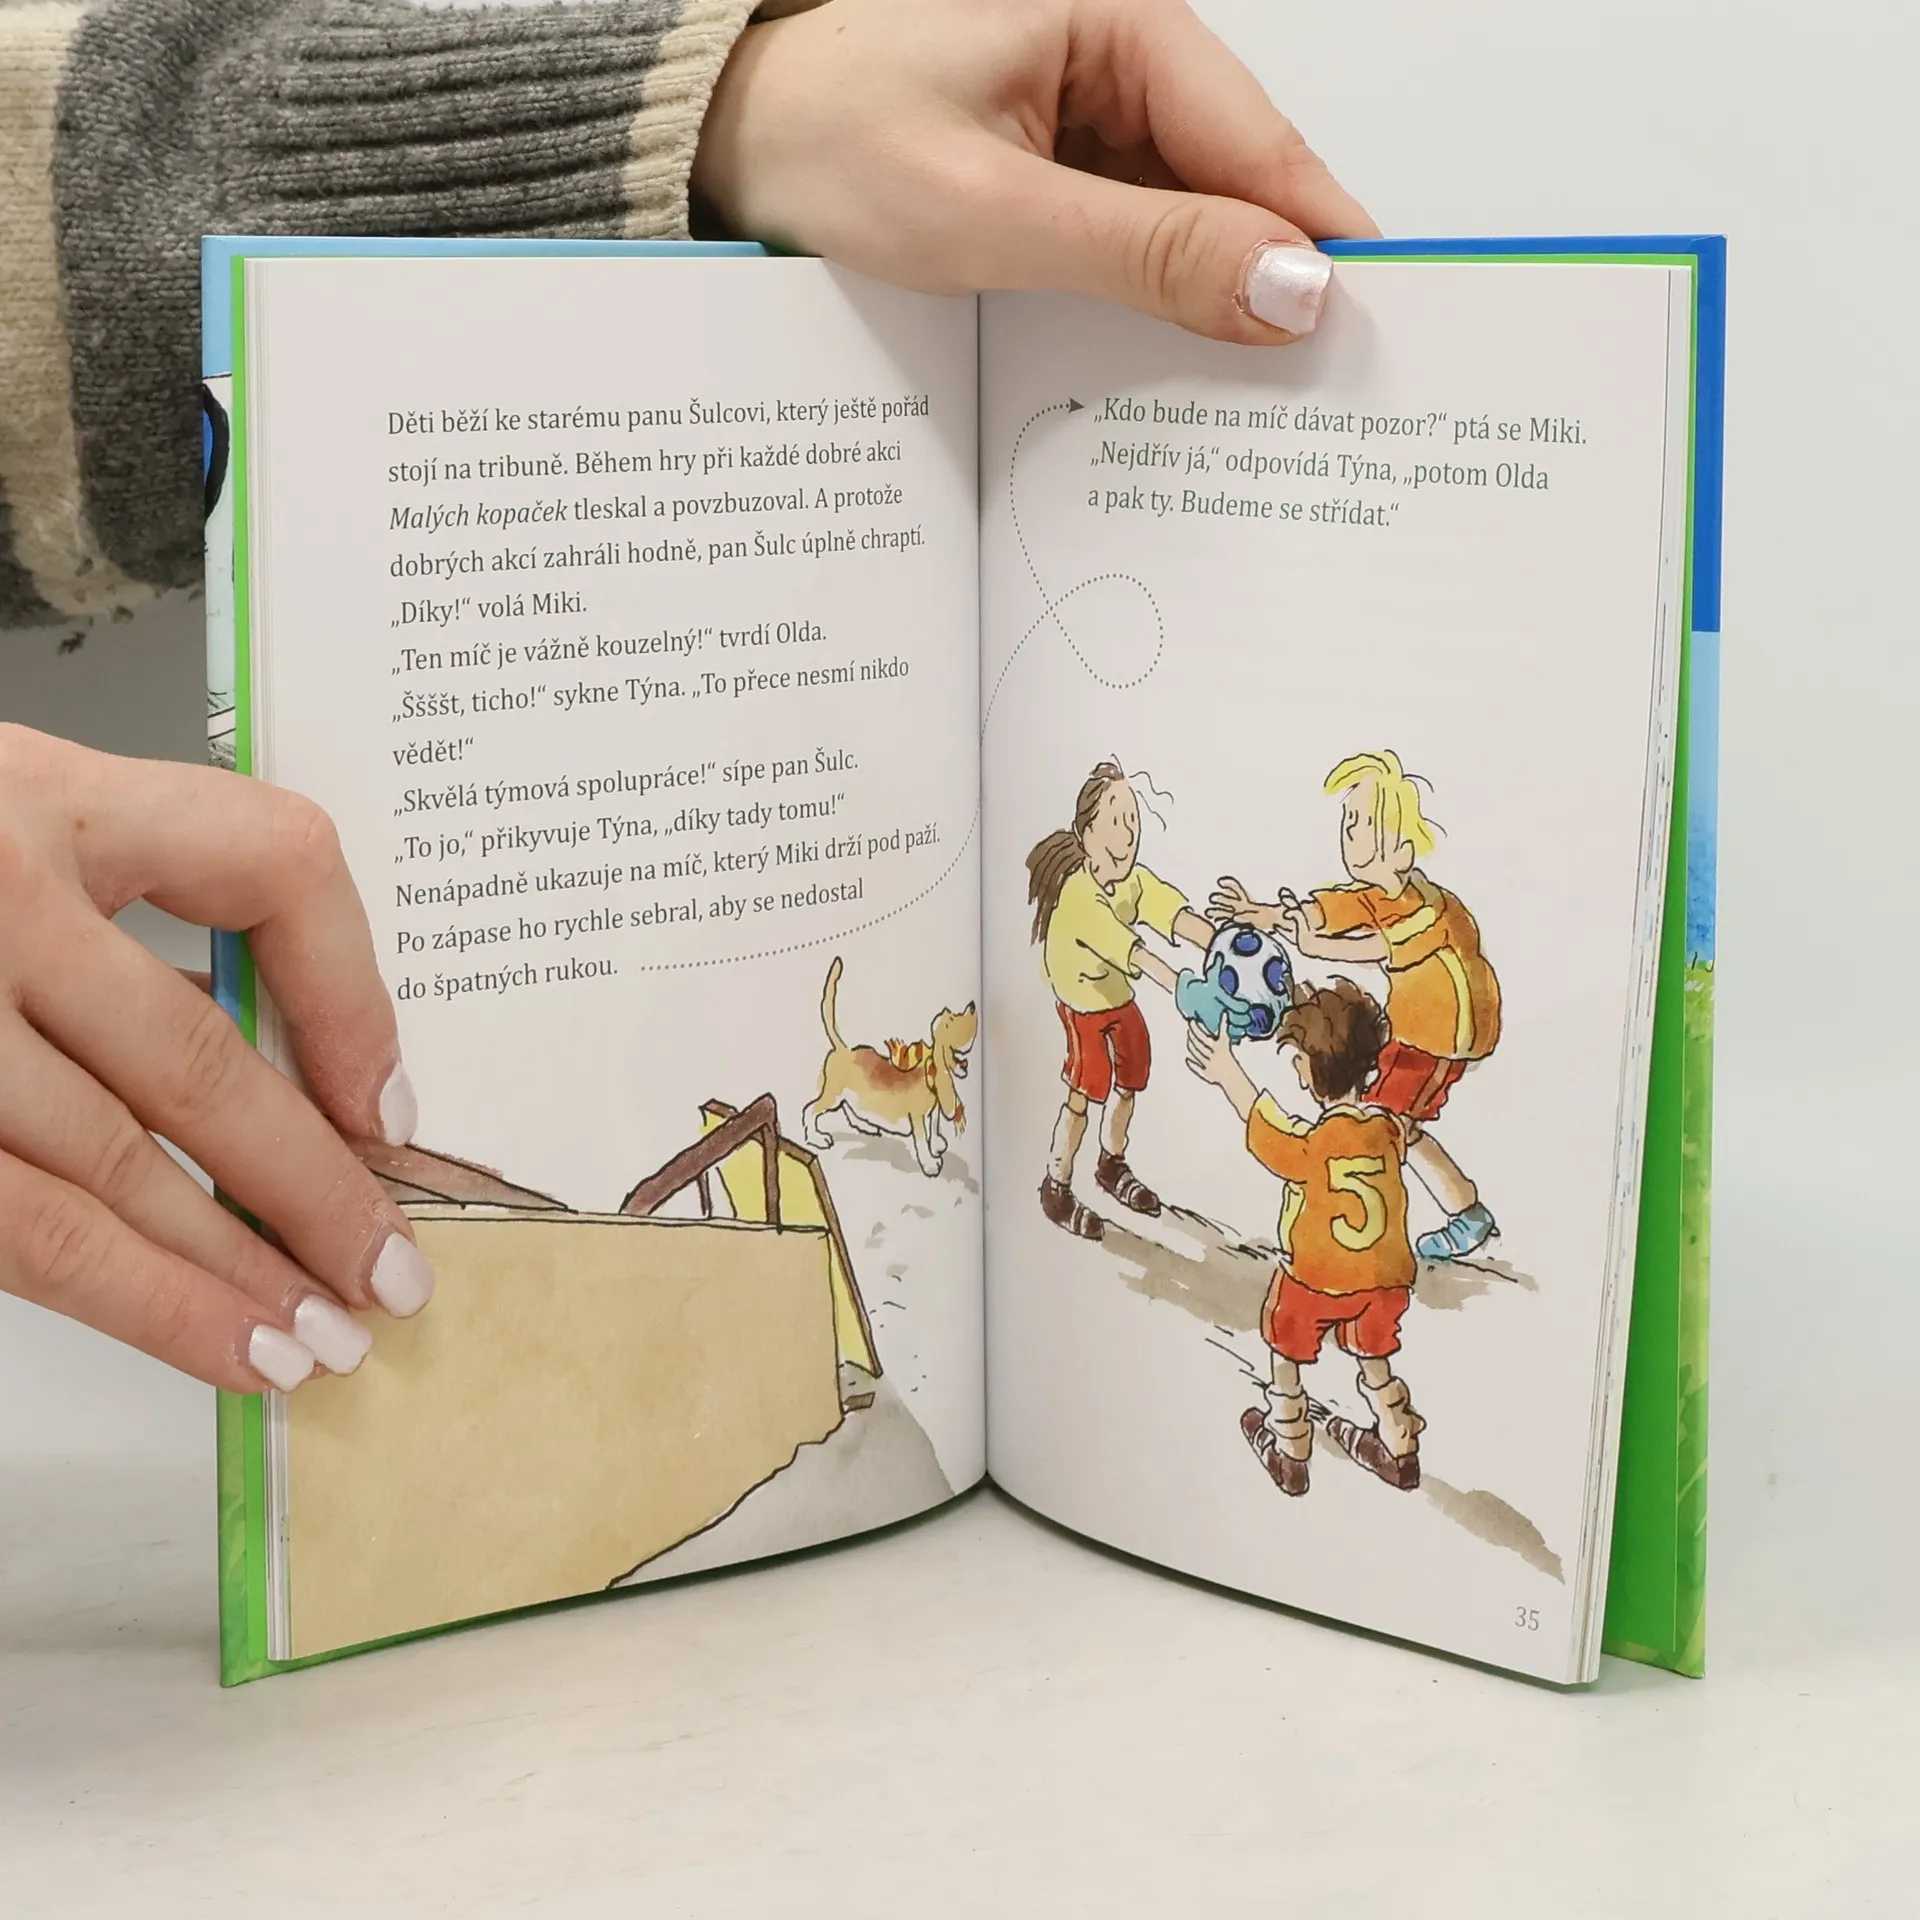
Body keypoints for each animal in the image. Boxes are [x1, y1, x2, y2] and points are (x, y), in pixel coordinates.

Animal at [800, 957, 977, 1177]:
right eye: (953, 1019)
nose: (973, 1006)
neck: (930, 1072)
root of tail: (843, 1049)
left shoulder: (933, 1112)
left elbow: (934, 1126)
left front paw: (936, 1144)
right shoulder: (917, 1117)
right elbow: (922, 1140)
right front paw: (930, 1163)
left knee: (848, 1107)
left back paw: (864, 1125)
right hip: (833, 1094)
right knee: (811, 1109)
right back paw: (817, 1138)